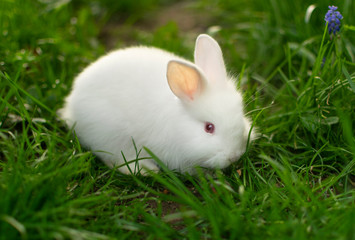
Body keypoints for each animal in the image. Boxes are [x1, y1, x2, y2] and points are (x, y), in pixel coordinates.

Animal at [59, 33, 253, 174]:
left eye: (240, 116)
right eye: (209, 127)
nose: (235, 156)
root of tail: (71, 106)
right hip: (110, 137)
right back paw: (144, 170)